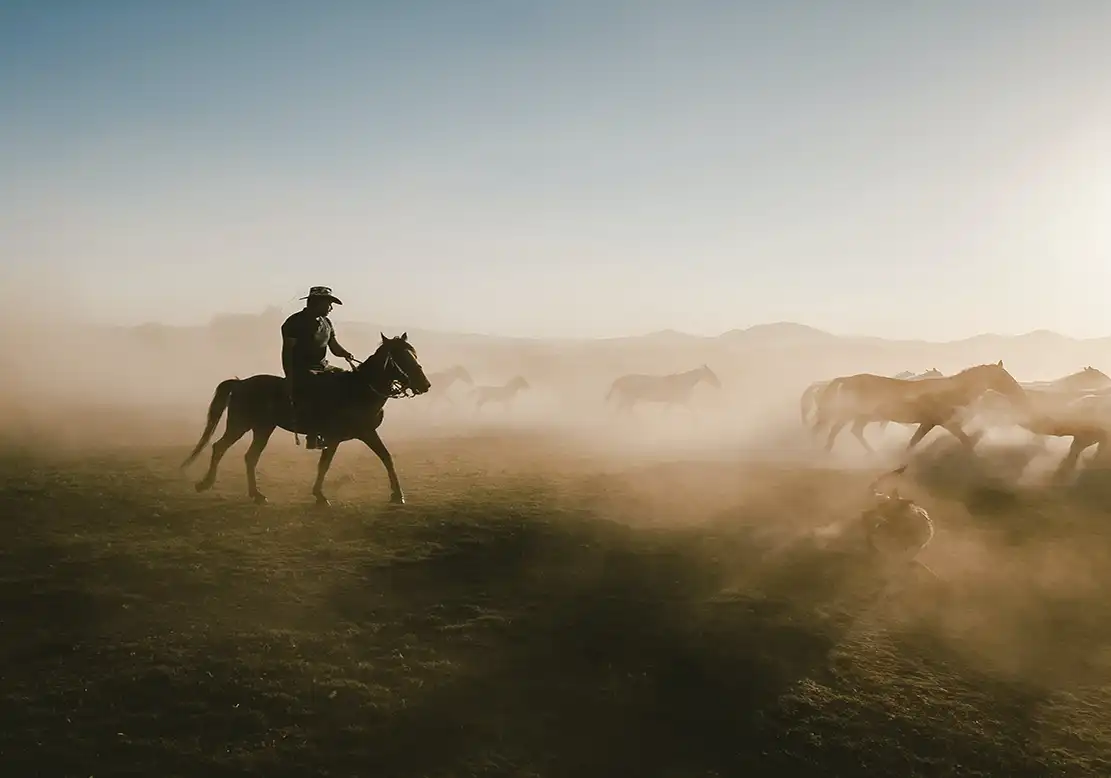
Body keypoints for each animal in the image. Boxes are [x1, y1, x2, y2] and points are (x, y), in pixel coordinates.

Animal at [179, 333, 431, 504]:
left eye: (414, 354)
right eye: (402, 357)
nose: (425, 384)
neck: (359, 390)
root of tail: (240, 383)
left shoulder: (367, 433)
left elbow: (386, 458)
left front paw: (398, 495)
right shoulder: (335, 436)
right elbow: (325, 464)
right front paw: (320, 495)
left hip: (263, 428)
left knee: (250, 457)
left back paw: (256, 494)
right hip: (240, 425)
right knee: (219, 447)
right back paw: (205, 483)